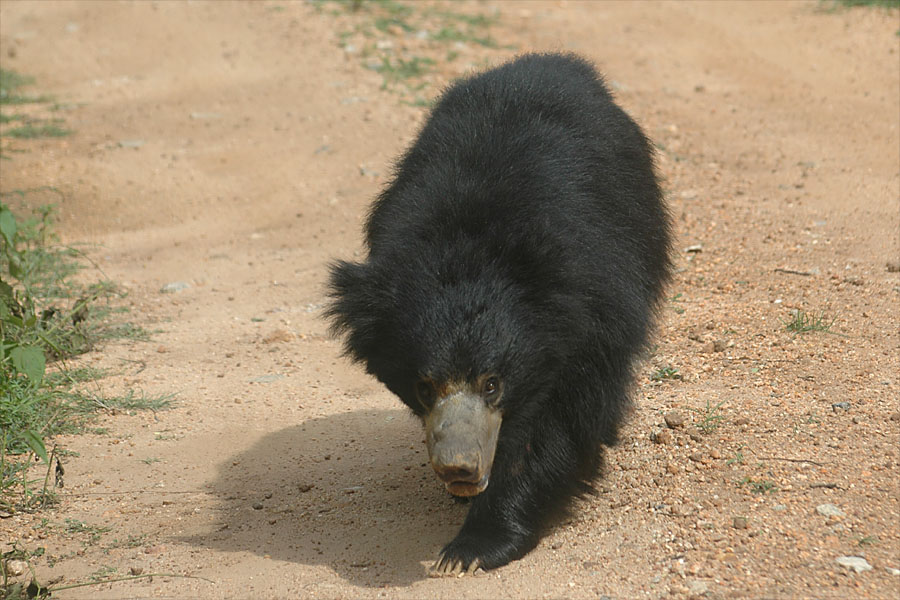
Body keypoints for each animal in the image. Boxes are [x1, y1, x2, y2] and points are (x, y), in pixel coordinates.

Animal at [326, 54, 672, 576]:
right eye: (424, 386)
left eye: (492, 383)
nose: (460, 468)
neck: (470, 246)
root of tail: (553, 62)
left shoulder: (593, 310)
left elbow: (560, 422)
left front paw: (473, 547)